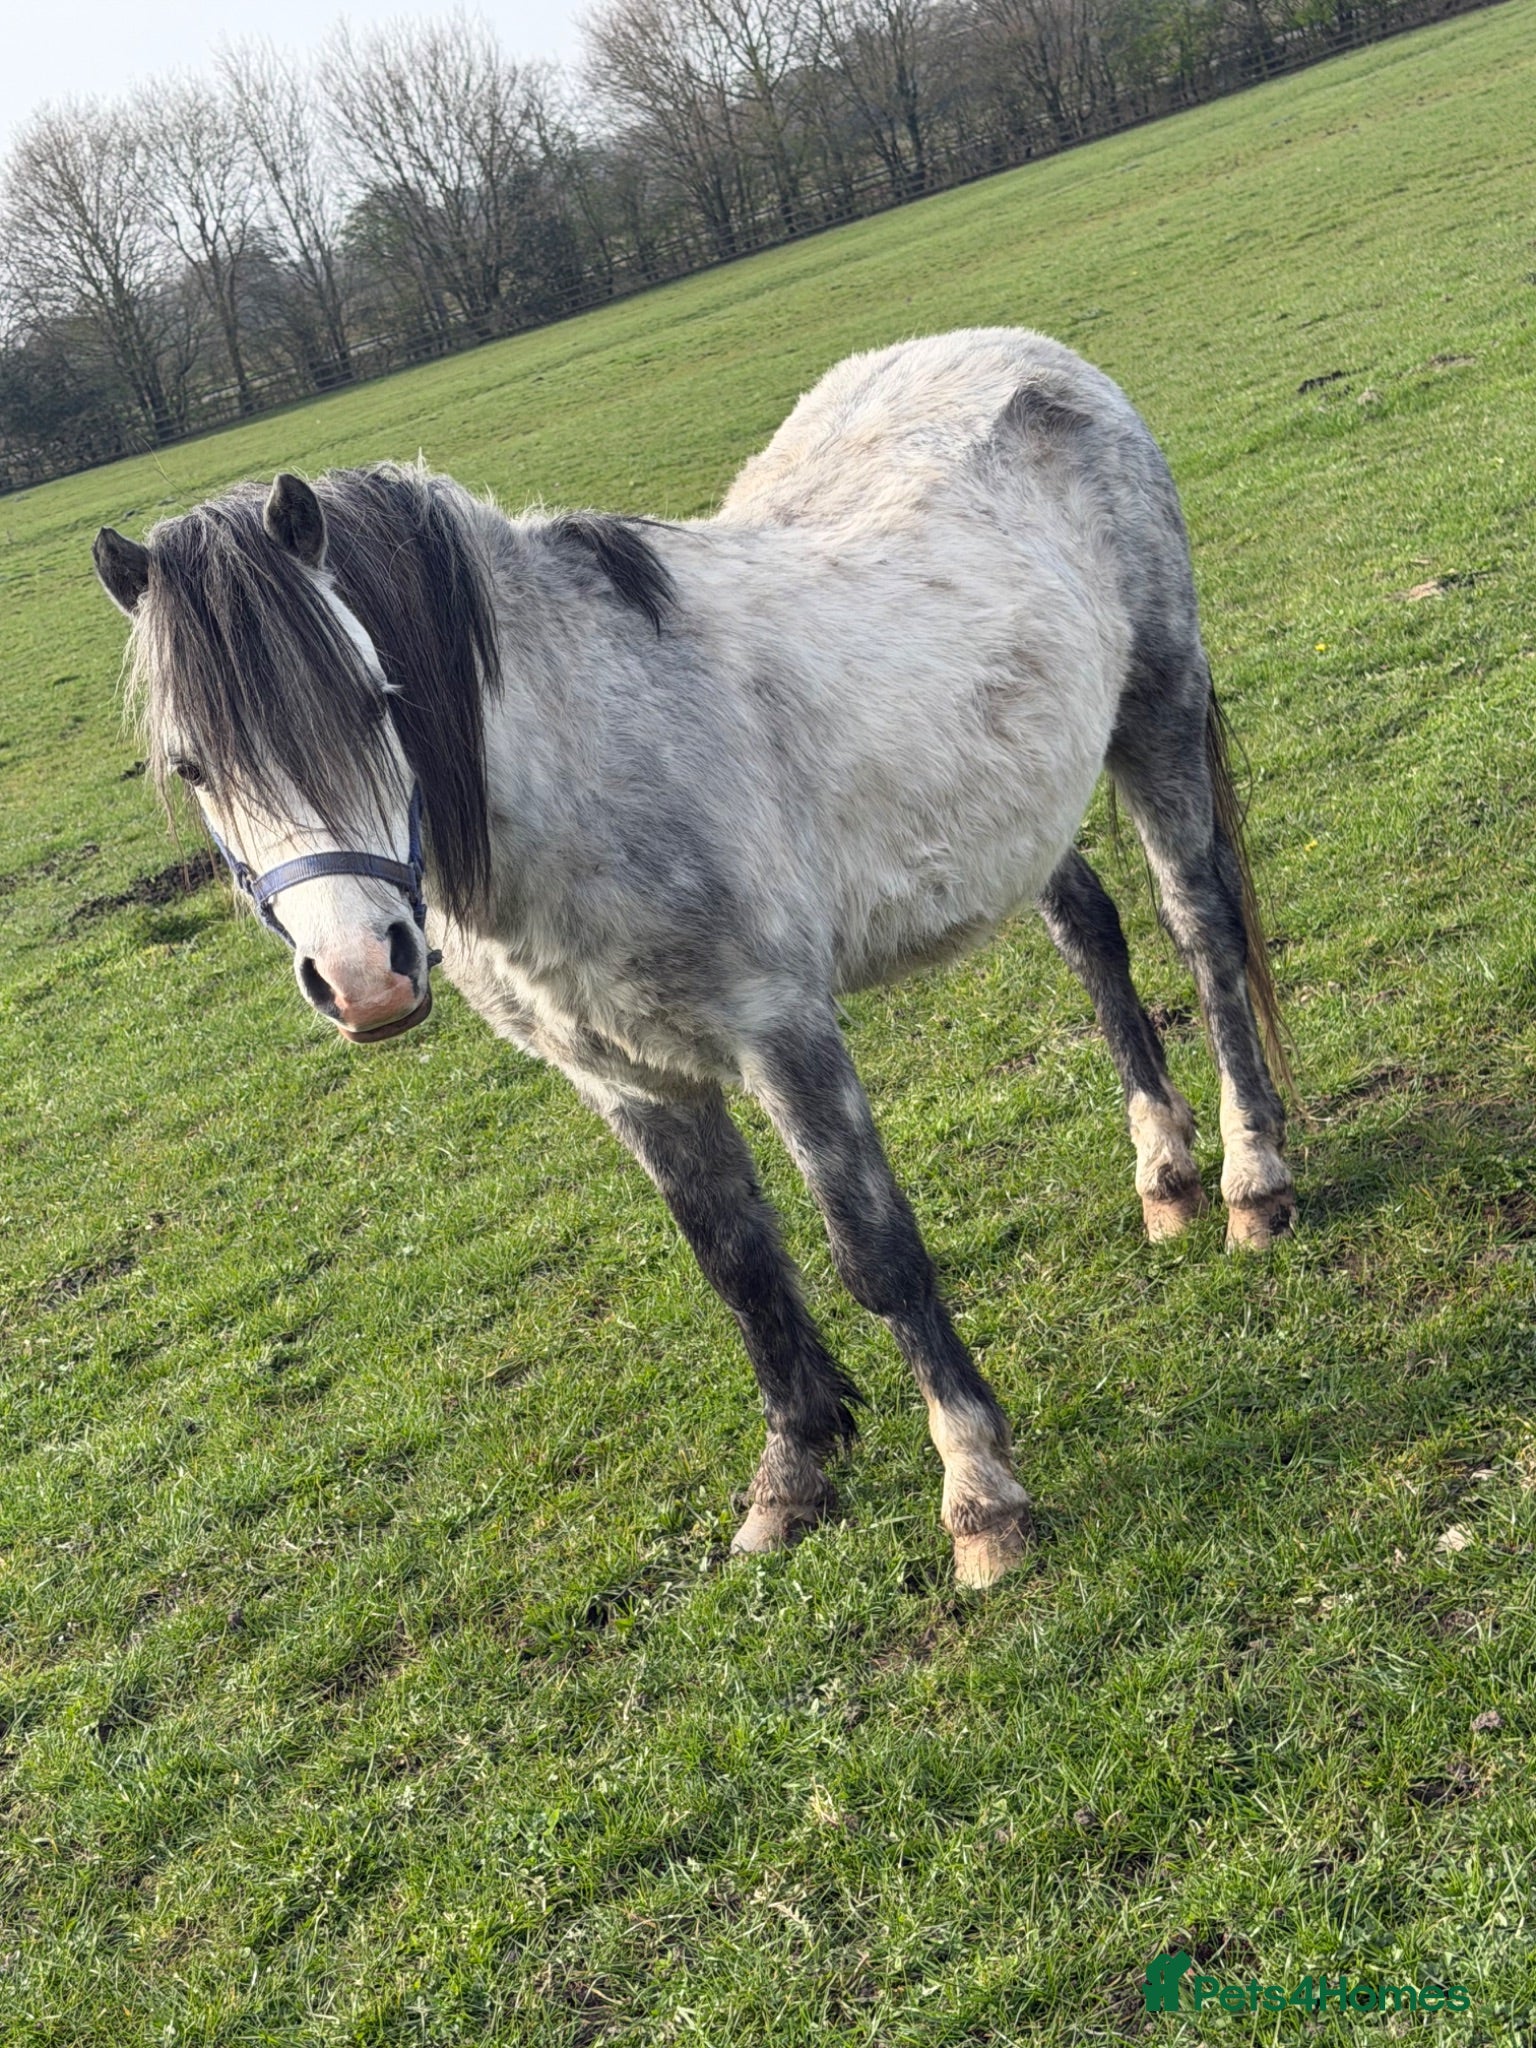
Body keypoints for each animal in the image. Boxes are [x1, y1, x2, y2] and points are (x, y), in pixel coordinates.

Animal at [92, 328, 1295, 1587]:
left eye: (380, 699)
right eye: (190, 766)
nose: (365, 974)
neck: (586, 761)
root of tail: (1033, 355)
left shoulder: (784, 1031)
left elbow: (874, 1252)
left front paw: (980, 1492)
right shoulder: (626, 1077)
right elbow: (737, 1266)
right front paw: (795, 1474)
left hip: (1156, 710)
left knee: (1201, 930)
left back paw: (1252, 1181)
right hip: (1016, 807)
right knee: (1092, 934)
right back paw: (1163, 1175)